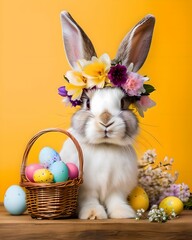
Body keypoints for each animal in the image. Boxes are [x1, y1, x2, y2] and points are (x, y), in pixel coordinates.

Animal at [59, 11, 155, 219]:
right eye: (87, 103)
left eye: (123, 103)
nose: (105, 121)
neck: (104, 146)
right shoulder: (86, 190)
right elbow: (90, 200)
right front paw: (93, 215)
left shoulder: (117, 188)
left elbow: (115, 200)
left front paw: (123, 213)